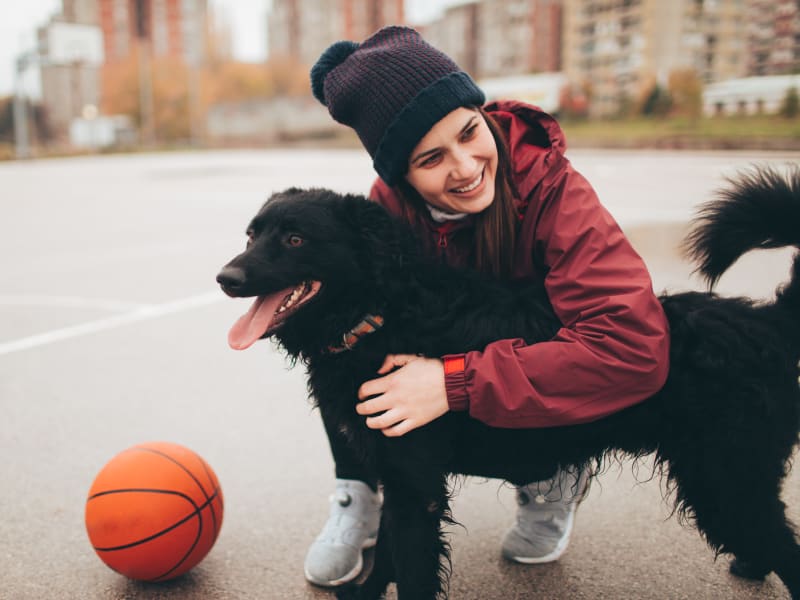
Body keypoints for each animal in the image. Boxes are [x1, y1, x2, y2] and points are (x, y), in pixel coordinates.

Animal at [217, 165, 800, 600]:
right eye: (251, 234)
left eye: (295, 238)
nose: (225, 278)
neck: (381, 314)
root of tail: (770, 321)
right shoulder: (394, 473)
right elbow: (384, 553)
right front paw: (362, 593)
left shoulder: (415, 487)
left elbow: (410, 566)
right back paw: (751, 565)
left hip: (726, 479)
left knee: (785, 547)